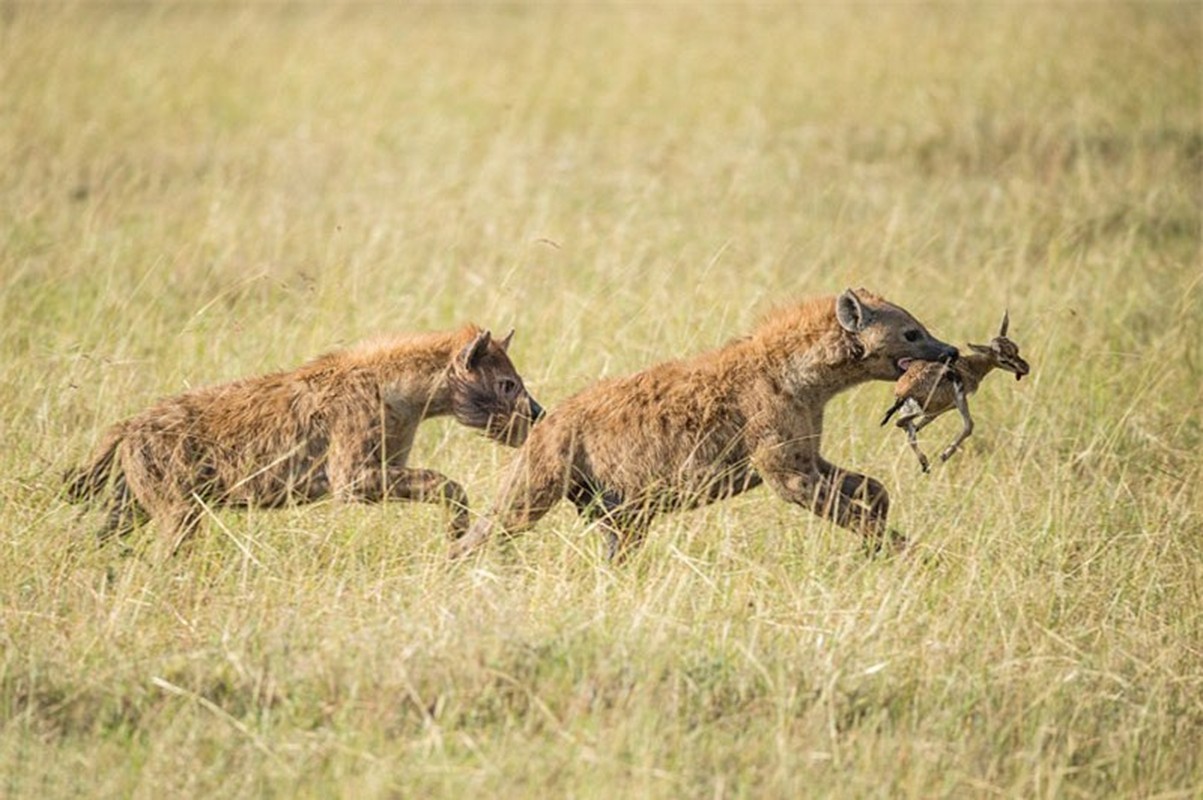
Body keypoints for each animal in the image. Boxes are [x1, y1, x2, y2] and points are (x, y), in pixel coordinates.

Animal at [880, 312, 1029, 471]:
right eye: (1003, 359)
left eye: (1016, 349)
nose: (1025, 368)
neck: (970, 366)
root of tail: (905, 390)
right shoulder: (960, 399)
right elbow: (969, 426)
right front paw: (944, 455)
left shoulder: (943, 409)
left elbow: (923, 423)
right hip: (925, 407)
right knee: (901, 423)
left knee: (907, 428)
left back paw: (925, 463)